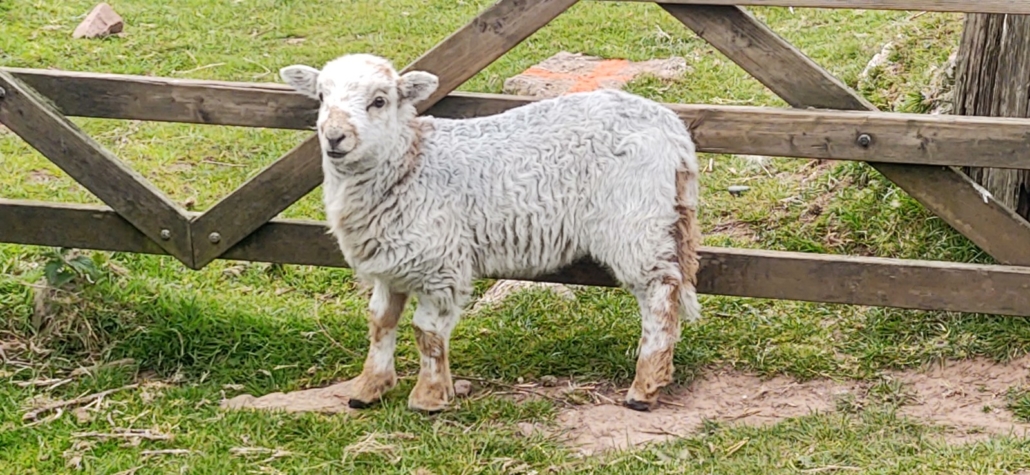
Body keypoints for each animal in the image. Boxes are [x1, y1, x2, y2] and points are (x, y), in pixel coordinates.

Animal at [279, 53, 702, 413]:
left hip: (634, 219)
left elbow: (426, 331)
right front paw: (369, 388)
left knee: (660, 292)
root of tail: (672, 129)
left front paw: (429, 397)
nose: (334, 137)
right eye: (321, 96)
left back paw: (644, 387)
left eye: (379, 101)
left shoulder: (440, 261)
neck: (410, 163)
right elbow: (380, 322)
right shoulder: (391, 260)